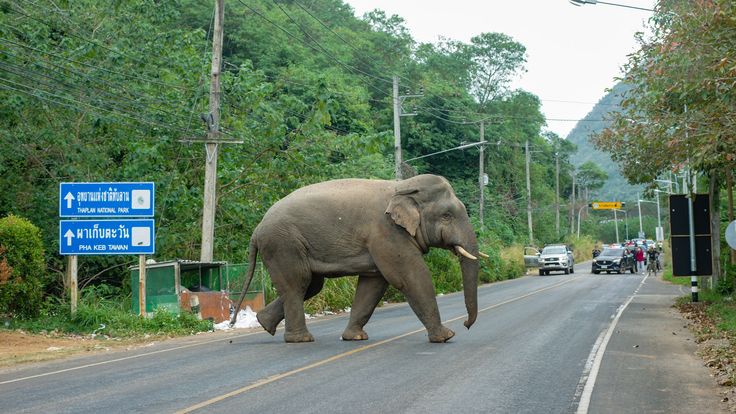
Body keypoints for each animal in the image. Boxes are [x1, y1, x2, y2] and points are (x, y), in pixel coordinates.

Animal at [230, 174, 485, 343]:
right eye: (446, 215)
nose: (466, 324)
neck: (401, 186)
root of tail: (257, 228)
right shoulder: (387, 233)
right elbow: (409, 277)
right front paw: (446, 336)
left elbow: (373, 284)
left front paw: (355, 337)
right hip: (283, 244)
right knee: (298, 284)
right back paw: (301, 339)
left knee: (310, 285)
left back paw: (264, 323)